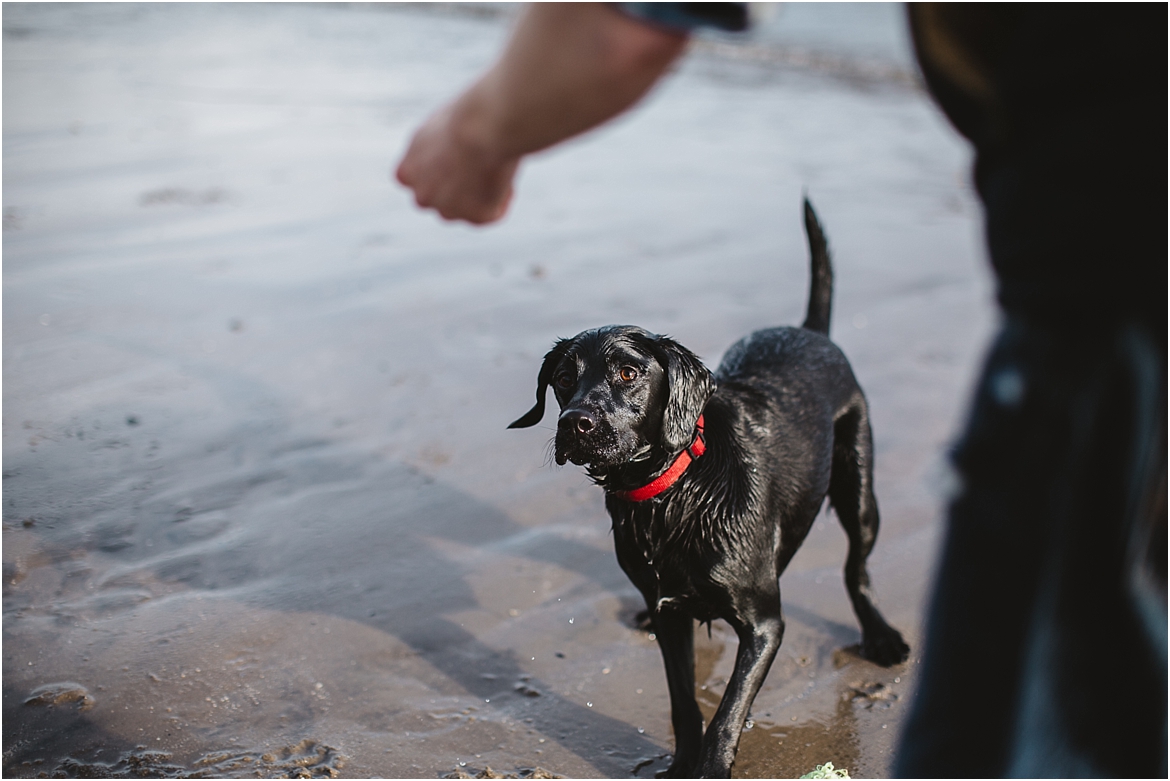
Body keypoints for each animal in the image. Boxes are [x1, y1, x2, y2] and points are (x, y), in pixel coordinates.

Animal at [510, 201, 903, 776]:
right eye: (563, 378)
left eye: (627, 372)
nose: (575, 423)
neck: (673, 495)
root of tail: (810, 332)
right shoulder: (670, 614)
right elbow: (683, 702)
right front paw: (681, 764)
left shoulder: (764, 625)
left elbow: (728, 712)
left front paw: (711, 767)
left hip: (859, 487)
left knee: (857, 567)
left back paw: (881, 637)